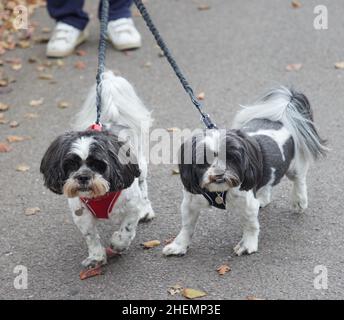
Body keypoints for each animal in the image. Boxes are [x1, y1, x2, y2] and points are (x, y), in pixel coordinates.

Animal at [39, 71, 154, 268]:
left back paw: (146, 209)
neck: (99, 196)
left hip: (140, 166)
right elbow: (91, 237)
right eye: (71, 165)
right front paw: (96, 256)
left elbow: (127, 230)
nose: (83, 177)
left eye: (98, 164)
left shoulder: (132, 208)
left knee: (143, 185)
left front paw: (118, 243)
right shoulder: (81, 215)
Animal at [163, 87, 326, 258]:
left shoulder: (248, 203)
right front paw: (178, 246)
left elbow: (250, 225)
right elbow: (187, 226)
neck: (219, 192)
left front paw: (247, 245)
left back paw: (299, 200)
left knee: (298, 179)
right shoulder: (191, 202)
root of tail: (279, 118)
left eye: (231, 157)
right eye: (204, 159)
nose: (219, 174)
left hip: (293, 167)